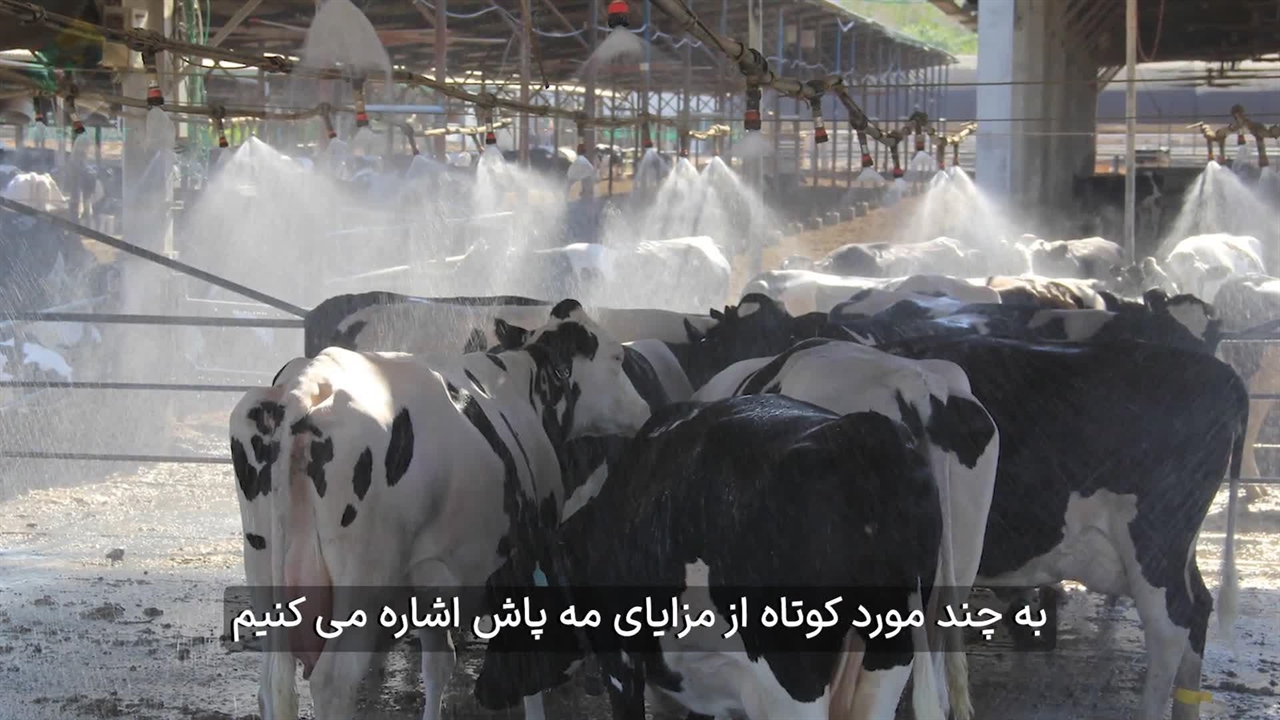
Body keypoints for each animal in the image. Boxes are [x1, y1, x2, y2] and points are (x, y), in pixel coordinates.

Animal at [229, 300, 652, 720]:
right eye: (616, 356)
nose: (646, 409)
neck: (523, 387)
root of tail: (308, 383)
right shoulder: (527, 556)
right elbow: (527, 667)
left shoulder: (432, 574)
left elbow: (439, 665)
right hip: (363, 585)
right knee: (333, 683)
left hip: (264, 570)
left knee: (272, 686)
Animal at [475, 393, 953, 720]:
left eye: (507, 607)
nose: (482, 691)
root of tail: (860, 431)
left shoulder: (622, 662)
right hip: (889, 651)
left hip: (791, 678)